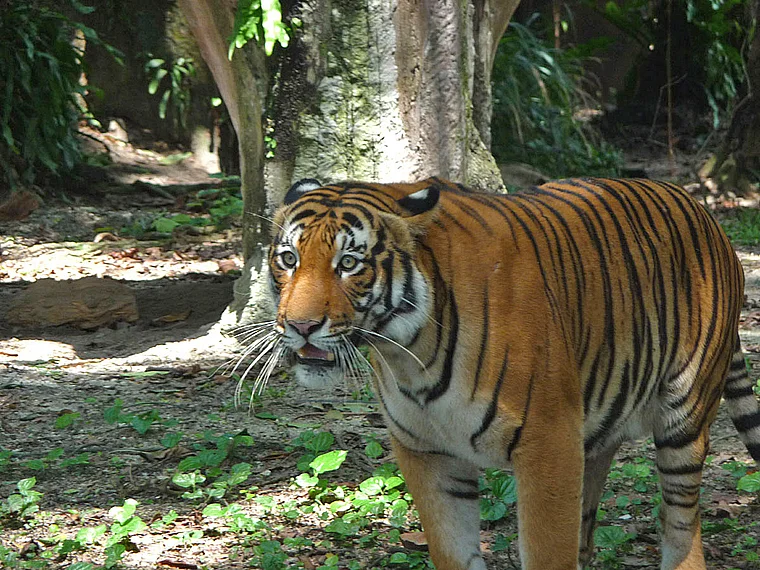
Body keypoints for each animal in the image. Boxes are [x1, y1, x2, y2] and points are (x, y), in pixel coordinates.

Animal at [253, 176, 760, 570]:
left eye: (349, 264)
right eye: (288, 259)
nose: (300, 326)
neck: (411, 355)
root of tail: (704, 212)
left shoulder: (548, 444)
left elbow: (547, 551)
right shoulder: (426, 451)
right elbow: (454, 550)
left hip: (684, 417)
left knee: (682, 519)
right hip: (596, 430)